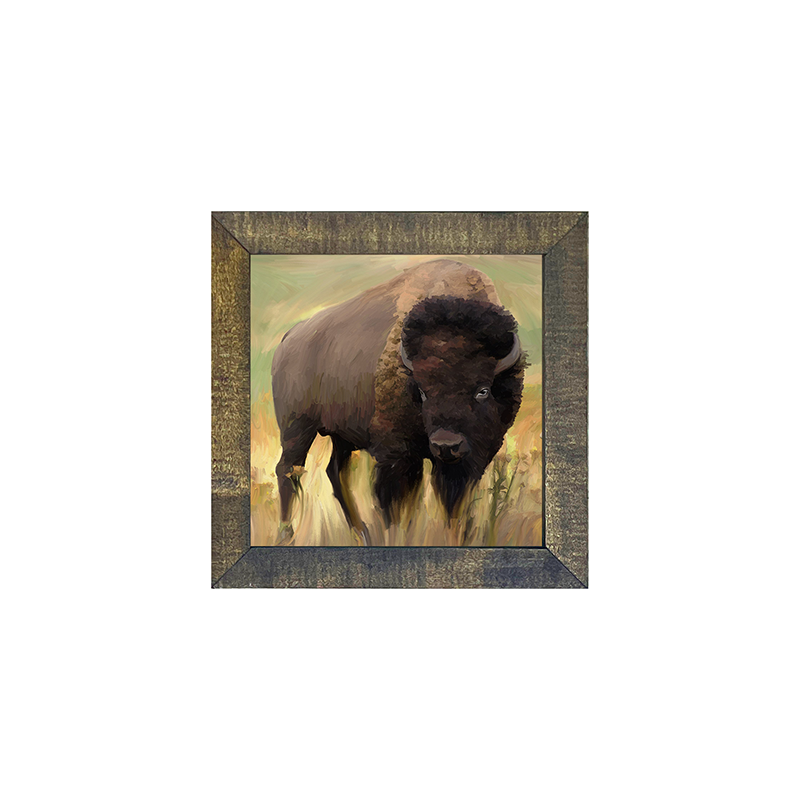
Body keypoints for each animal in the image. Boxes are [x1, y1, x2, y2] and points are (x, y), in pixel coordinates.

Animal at [271, 259, 525, 544]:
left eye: (482, 390)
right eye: (423, 392)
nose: (446, 445)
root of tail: (289, 338)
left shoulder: (466, 462)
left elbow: (453, 507)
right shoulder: (397, 456)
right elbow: (395, 506)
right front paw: (397, 536)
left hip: (341, 436)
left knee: (335, 472)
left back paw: (361, 533)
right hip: (296, 428)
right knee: (288, 471)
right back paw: (286, 535)